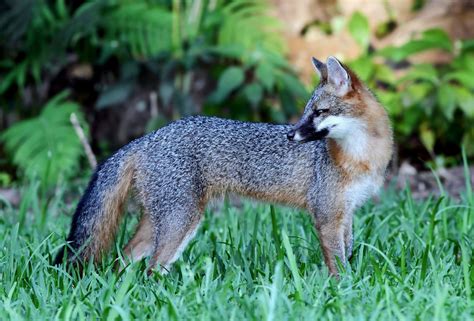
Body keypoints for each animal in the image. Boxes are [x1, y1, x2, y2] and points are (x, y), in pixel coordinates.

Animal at [53, 55, 392, 276]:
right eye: (307, 111)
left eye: (319, 112)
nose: (290, 134)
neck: (361, 157)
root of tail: (148, 137)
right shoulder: (326, 216)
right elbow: (338, 264)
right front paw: (343, 289)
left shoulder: (346, 213)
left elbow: (348, 252)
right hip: (180, 221)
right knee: (151, 268)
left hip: (158, 222)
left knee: (122, 259)